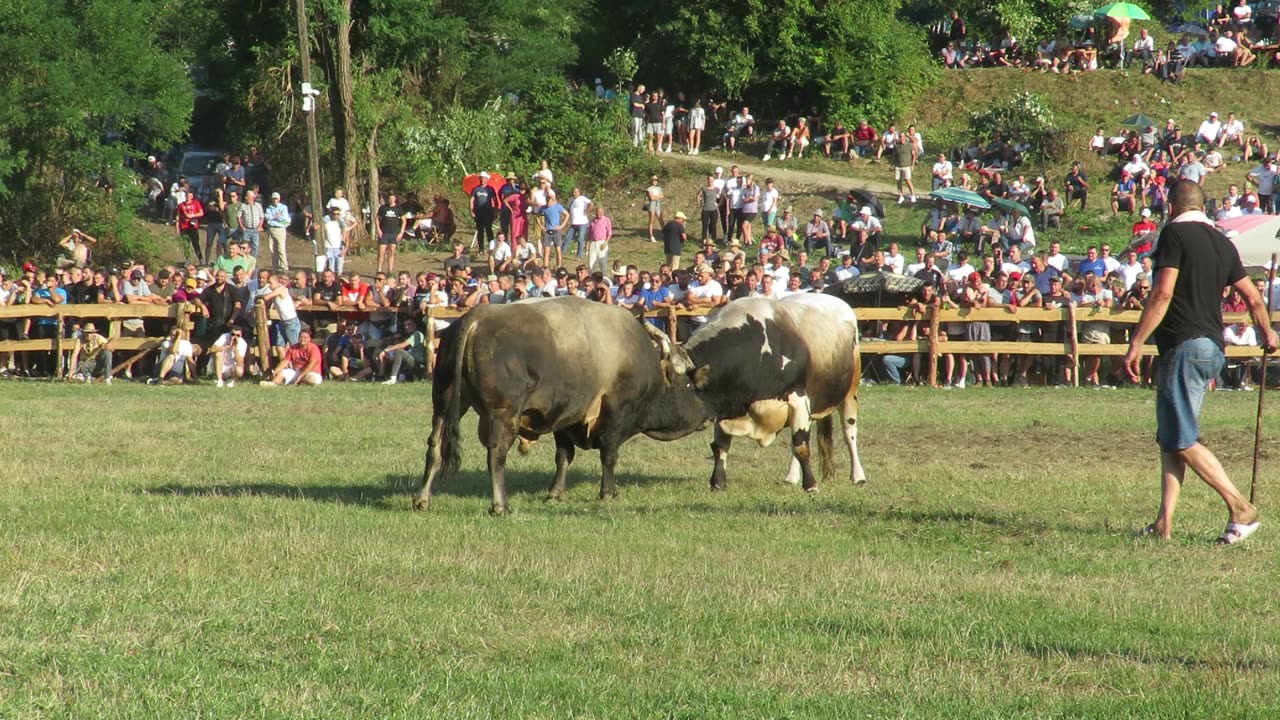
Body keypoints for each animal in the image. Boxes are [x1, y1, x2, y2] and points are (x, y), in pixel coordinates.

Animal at [414, 294, 711, 512]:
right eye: (689, 384)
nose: (707, 417)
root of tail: (475, 318)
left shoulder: (565, 416)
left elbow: (563, 457)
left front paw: (555, 492)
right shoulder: (617, 410)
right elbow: (609, 454)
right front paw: (608, 492)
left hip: (444, 404)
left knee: (434, 447)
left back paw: (422, 498)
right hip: (503, 413)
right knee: (496, 453)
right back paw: (500, 505)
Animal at [686, 292, 865, 486]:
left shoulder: (798, 399)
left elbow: (801, 445)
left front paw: (810, 484)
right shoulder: (726, 405)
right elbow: (720, 445)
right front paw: (718, 481)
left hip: (849, 393)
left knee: (849, 433)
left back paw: (858, 475)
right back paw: (792, 477)